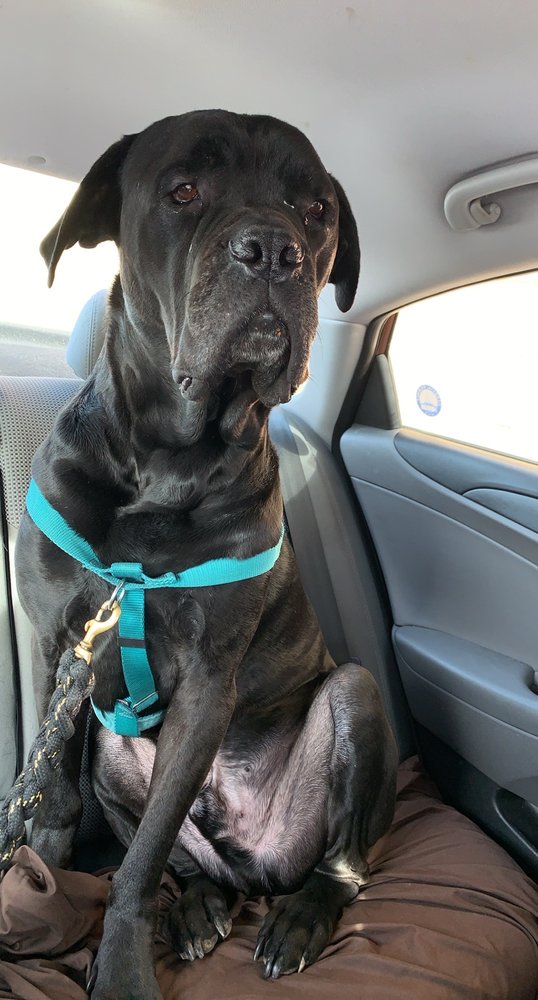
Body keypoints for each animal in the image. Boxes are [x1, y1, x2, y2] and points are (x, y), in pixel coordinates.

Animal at [15, 110, 398, 1000]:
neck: (163, 465)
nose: (274, 250)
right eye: (183, 190)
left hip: (354, 696)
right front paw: (39, 883)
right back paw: (195, 907)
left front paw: (122, 968)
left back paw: (295, 918)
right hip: (115, 750)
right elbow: (54, 799)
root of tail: (248, 865)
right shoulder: (55, 651)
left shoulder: (204, 687)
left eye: (316, 211)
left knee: (341, 864)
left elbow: (138, 864)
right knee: (182, 860)